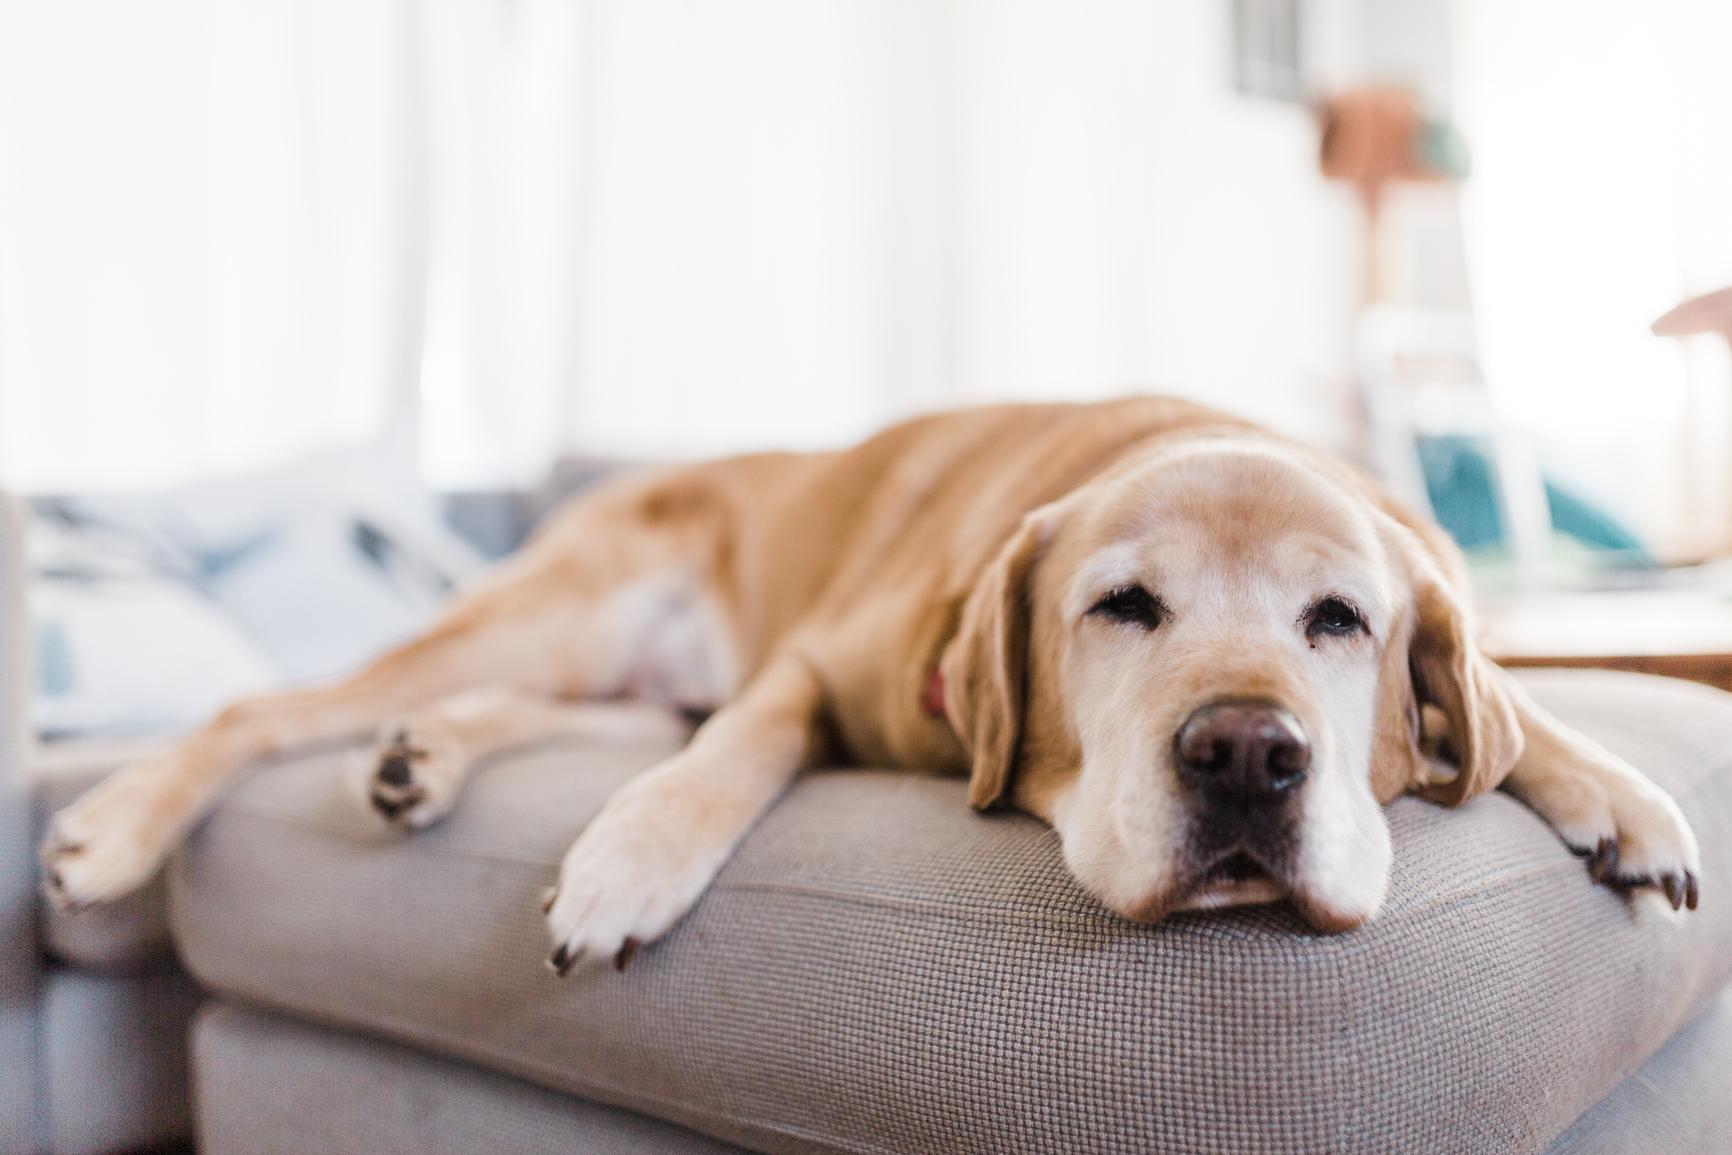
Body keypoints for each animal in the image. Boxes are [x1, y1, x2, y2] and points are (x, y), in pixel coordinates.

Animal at [43, 401, 1704, 969]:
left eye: (1340, 620)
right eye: (1123, 605)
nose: (1246, 754)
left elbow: (1516, 703)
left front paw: (1624, 795)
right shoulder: (810, 664)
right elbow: (746, 750)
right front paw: (632, 859)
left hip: (597, 668)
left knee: (564, 715)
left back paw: (421, 761)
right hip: (555, 612)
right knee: (263, 709)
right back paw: (114, 826)